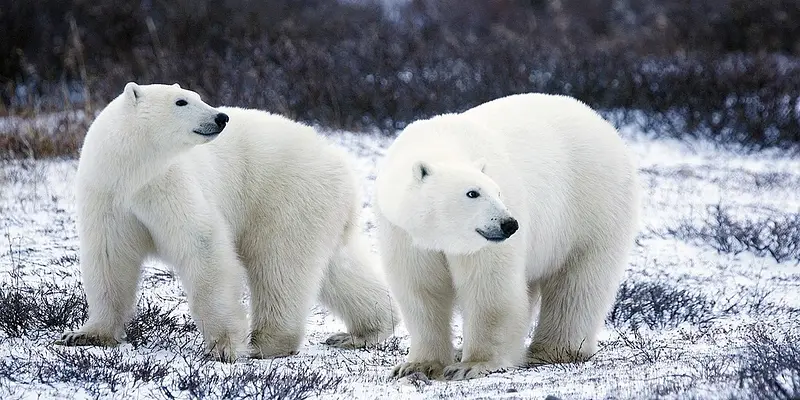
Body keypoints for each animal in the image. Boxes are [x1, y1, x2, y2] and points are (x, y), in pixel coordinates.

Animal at [56, 82, 398, 362]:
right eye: (181, 101)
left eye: (197, 96)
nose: (221, 117)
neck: (132, 171)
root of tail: (342, 164)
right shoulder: (107, 195)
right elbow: (109, 257)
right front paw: (85, 334)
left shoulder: (169, 184)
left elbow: (203, 245)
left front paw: (223, 347)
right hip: (320, 209)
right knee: (336, 268)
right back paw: (364, 331)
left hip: (287, 196)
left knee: (279, 264)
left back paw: (266, 343)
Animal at [374, 93, 641, 380]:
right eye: (472, 193)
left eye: (498, 192)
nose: (509, 224)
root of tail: (603, 124)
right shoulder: (404, 233)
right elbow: (421, 289)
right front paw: (417, 365)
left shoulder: (485, 243)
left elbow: (490, 288)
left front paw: (472, 364)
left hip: (592, 206)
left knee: (578, 282)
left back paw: (552, 350)